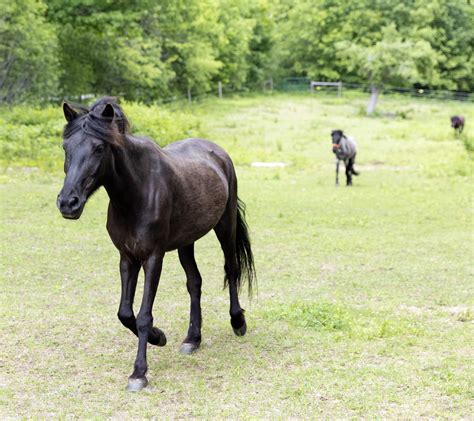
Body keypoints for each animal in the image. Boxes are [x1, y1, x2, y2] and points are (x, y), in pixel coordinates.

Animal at [57, 97, 256, 390]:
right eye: (66, 147)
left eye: (99, 147)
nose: (68, 203)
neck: (136, 193)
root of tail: (218, 152)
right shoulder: (127, 258)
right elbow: (125, 313)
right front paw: (158, 337)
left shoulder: (153, 257)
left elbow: (142, 316)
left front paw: (139, 372)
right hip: (187, 242)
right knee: (194, 283)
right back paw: (192, 339)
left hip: (225, 227)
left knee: (231, 269)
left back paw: (238, 321)